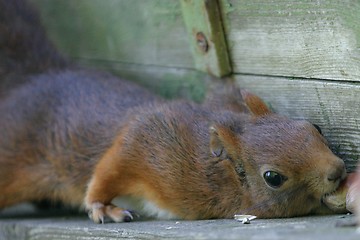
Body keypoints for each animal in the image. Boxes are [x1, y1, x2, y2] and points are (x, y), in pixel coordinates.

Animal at [0, 0, 348, 223]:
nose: (338, 169)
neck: (211, 169)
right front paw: (101, 205)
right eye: (273, 177)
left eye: (313, 127)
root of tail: (36, 76)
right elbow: (112, 164)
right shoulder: (156, 143)